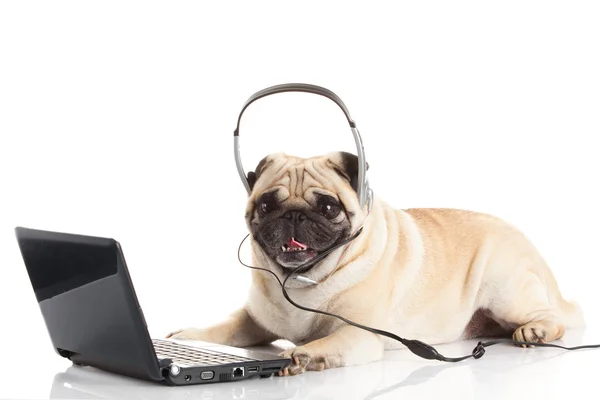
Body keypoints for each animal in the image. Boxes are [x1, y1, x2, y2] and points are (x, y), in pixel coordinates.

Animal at [166, 152, 584, 376]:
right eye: (267, 205)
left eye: (327, 207)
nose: (294, 215)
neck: (300, 282)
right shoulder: (254, 318)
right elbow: (222, 329)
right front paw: (187, 336)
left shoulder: (357, 334)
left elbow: (324, 342)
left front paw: (300, 356)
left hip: (506, 291)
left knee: (554, 317)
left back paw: (535, 331)